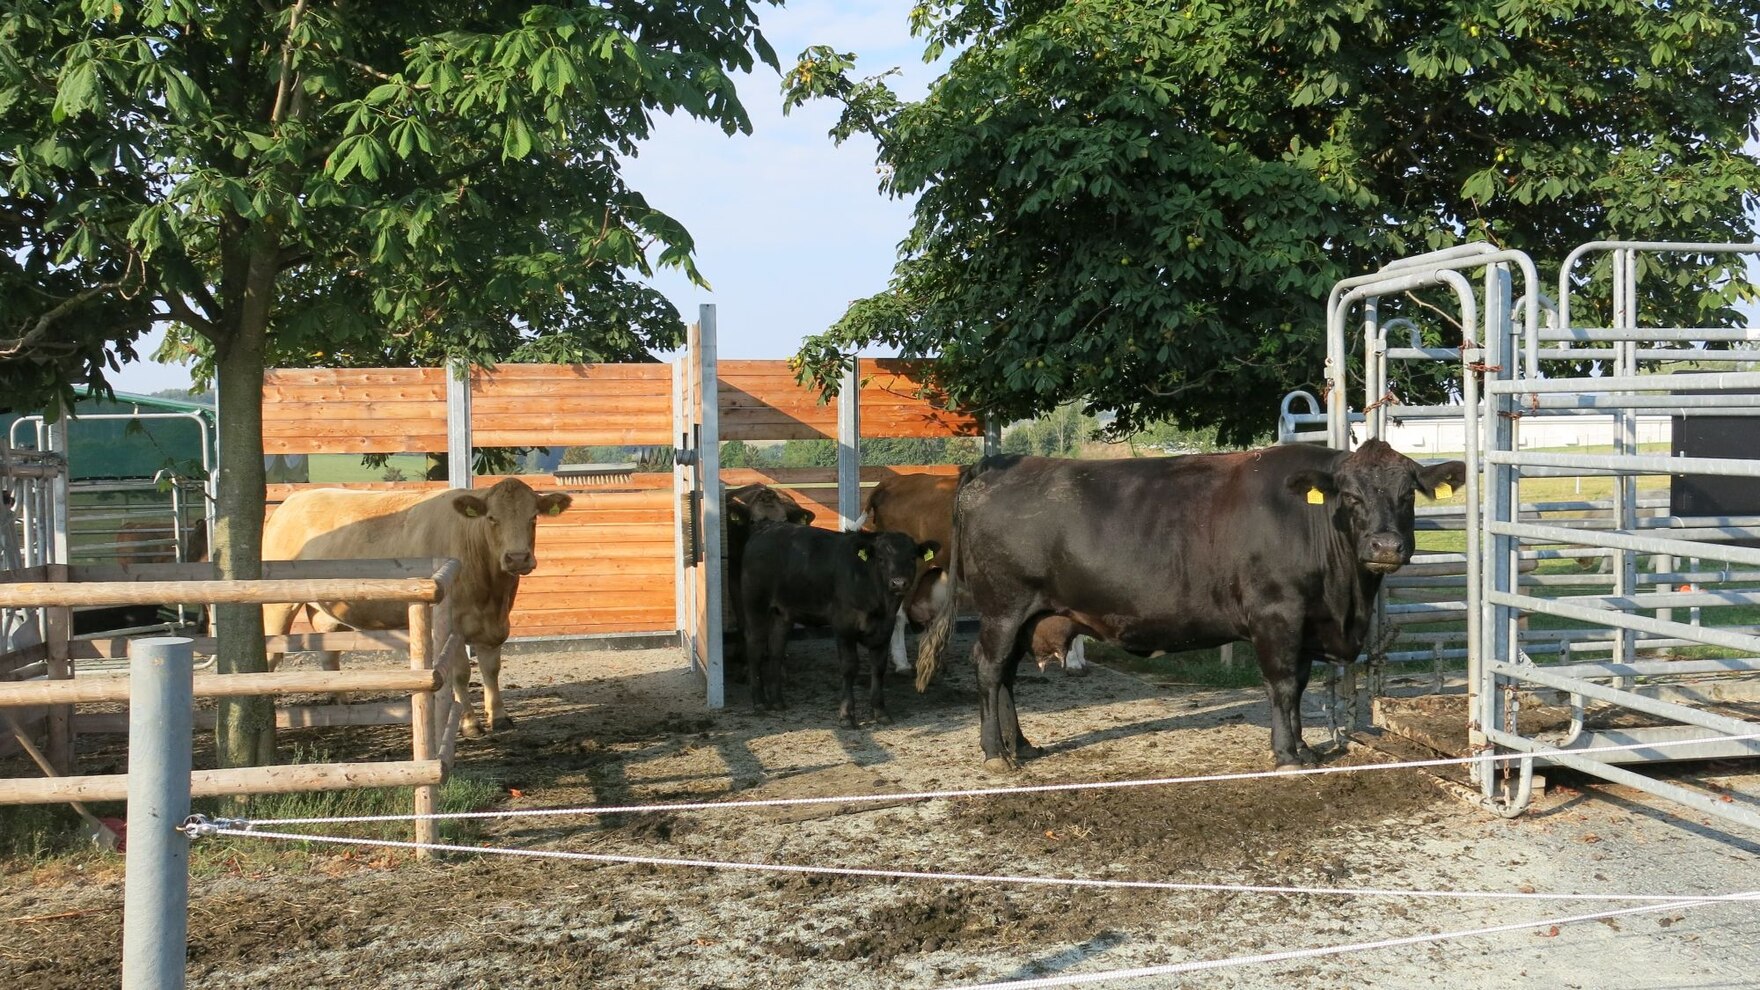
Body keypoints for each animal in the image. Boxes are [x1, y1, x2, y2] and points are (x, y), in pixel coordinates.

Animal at [258, 479, 570, 732]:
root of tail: (294, 500)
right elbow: (460, 673)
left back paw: (341, 705)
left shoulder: (494, 625)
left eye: (533, 517)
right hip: (277, 605)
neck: (491, 594)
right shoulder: (453, 624)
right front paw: (470, 723)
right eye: (492, 518)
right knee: (271, 654)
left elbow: (491, 668)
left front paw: (500, 717)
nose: (517, 558)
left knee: (328, 652)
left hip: (326, 610)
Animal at [739, 524, 936, 725]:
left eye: (912, 558)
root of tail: (764, 531)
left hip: (783, 614)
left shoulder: (884, 629)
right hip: (755, 605)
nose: (898, 583)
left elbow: (878, 668)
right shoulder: (844, 626)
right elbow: (849, 667)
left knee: (776, 651)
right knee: (754, 649)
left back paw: (778, 701)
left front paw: (880, 711)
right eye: (881, 558)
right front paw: (847, 715)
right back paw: (759, 702)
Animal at [915, 438, 1464, 771]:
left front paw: (1303, 746)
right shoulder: (1277, 614)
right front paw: (1288, 754)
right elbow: (1284, 686)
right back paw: (994, 752)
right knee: (989, 670)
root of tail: (997, 464)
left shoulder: (1305, 623)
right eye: (1350, 496)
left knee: (1006, 675)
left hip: (1027, 615)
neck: (1345, 600)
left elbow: (1301, 684)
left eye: (1408, 495)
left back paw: (1022, 745)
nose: (1385, 546)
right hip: (1002, 609)